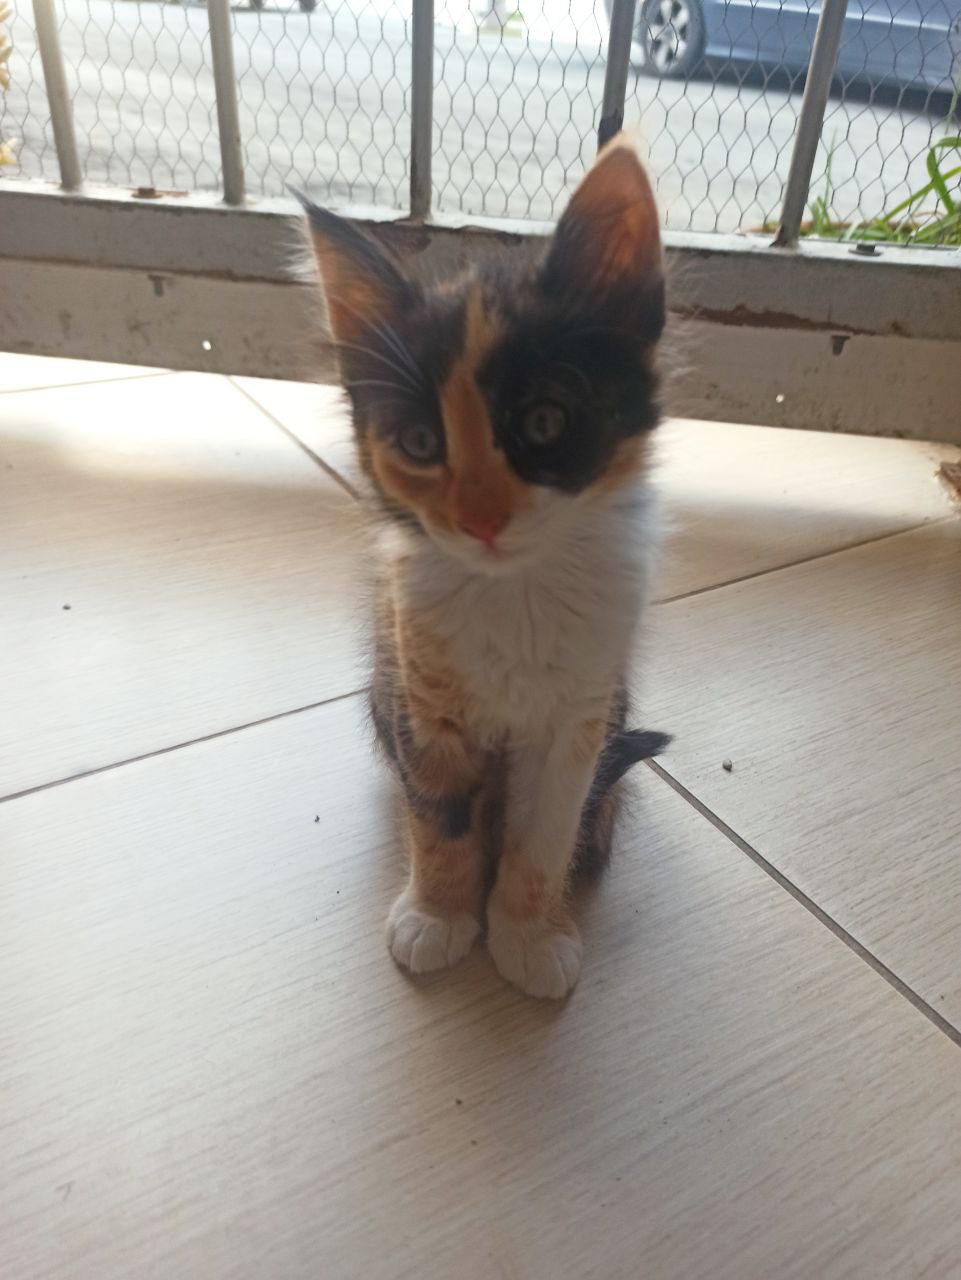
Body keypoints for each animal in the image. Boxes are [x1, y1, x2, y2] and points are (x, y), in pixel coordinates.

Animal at [301, 137, 670, 999]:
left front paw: (528, 934)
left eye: (543, 422)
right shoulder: (420, 693)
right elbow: (438, 816)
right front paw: (438, 915)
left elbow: (545, 835)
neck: (516, 594)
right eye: (419, 443)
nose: (478, 518)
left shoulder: (577, 719)